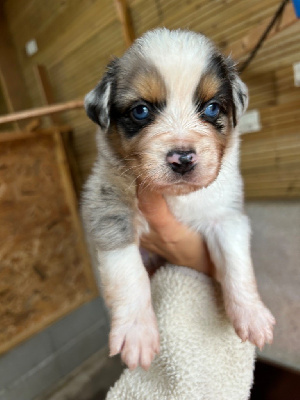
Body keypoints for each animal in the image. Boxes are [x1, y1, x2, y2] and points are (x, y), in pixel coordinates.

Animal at [82, 28, 274, 372]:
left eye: (211, 108)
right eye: (141, 110)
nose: (182, 159)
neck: (175, 196)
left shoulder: (226, 216)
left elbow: (237, 264)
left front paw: (252, 315)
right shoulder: (108, 206)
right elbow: (127, 272)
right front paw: (136, 332)